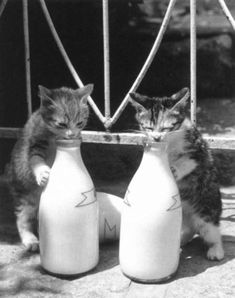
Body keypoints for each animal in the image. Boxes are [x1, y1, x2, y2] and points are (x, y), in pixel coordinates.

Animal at [6, 84, 92, 251]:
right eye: (62, 124)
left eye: (79, 123)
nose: (71, 135)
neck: (54, 138)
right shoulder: (35, 144)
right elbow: (35, 159)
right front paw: (43, 173)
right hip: (25, 193)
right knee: (22, 217)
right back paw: (30, 239)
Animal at [130, 88, 224, 260]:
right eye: (149, 128)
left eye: (167, 127)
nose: (157, 137)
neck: (170, 141)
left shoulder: (198, 150)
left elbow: (189, 161)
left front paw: (175, 169)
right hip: (184, 217)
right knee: (190, 229)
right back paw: (181, 240)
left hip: (207, 206)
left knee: (210, 229)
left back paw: (216, 249)